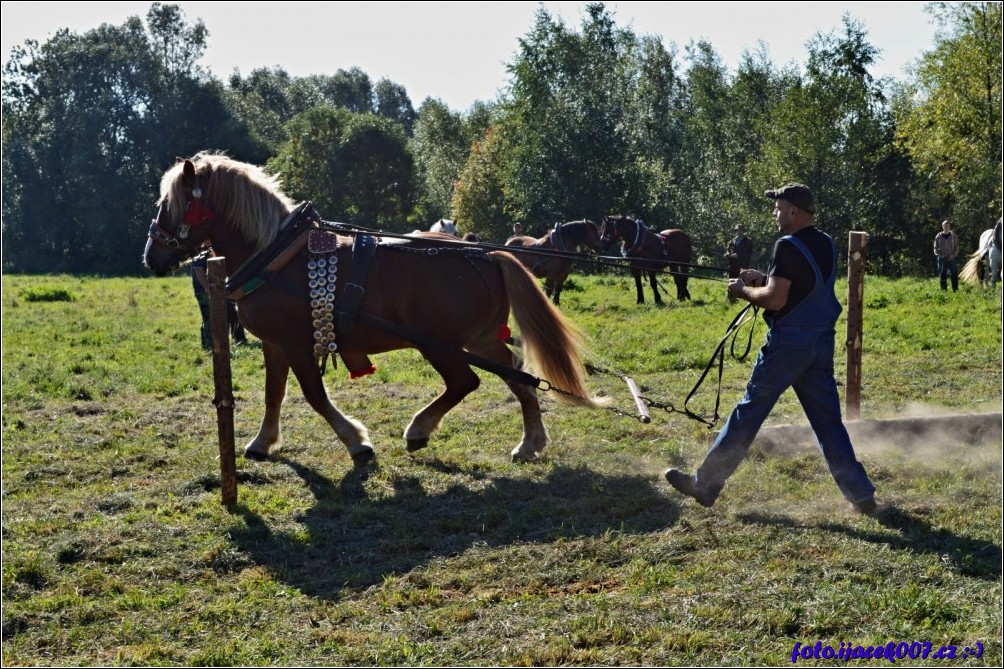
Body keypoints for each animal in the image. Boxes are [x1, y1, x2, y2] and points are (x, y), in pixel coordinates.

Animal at [140, 152, 594, 464]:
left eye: (167, 204)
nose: (150, 257)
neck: (274, 254)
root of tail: (485, 255)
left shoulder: (296, 343)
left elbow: (314, 395)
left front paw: (356, 442)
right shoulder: (275, 344)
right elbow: (274, 393)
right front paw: (262, 442)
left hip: (439, 344)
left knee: (465, 382)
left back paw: (419, 429)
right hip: (480, 339)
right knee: (518, 377)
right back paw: (530, 443)